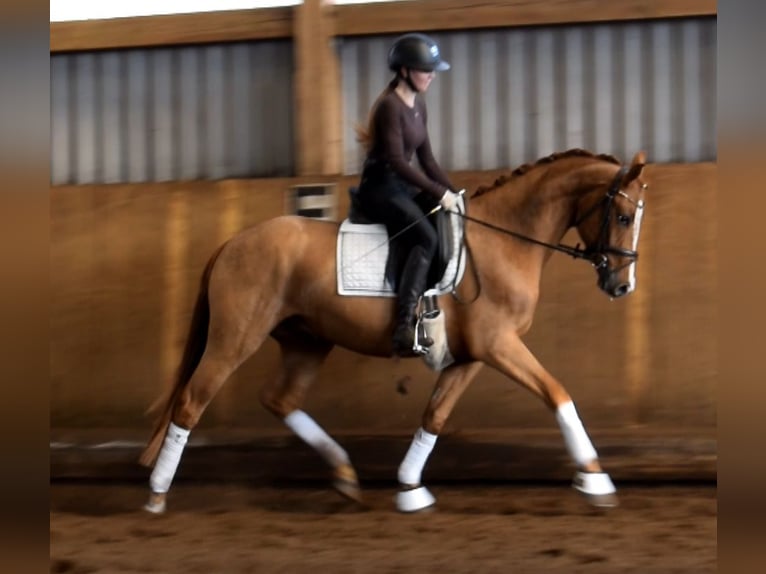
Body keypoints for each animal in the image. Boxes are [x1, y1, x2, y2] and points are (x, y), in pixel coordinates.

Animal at [139, 148, 648, 514]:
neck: (504, 238)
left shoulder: (470, 356)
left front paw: (409, 488)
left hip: (308, 341)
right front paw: (595, 478)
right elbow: (557, 393)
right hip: (234, 340)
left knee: (279, 400)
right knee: (192, 401)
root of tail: (231, 243)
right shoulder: (499, 345)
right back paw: (158, 493)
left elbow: (435, 417)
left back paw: (345, 476)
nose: (621, 285)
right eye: (624, 217)